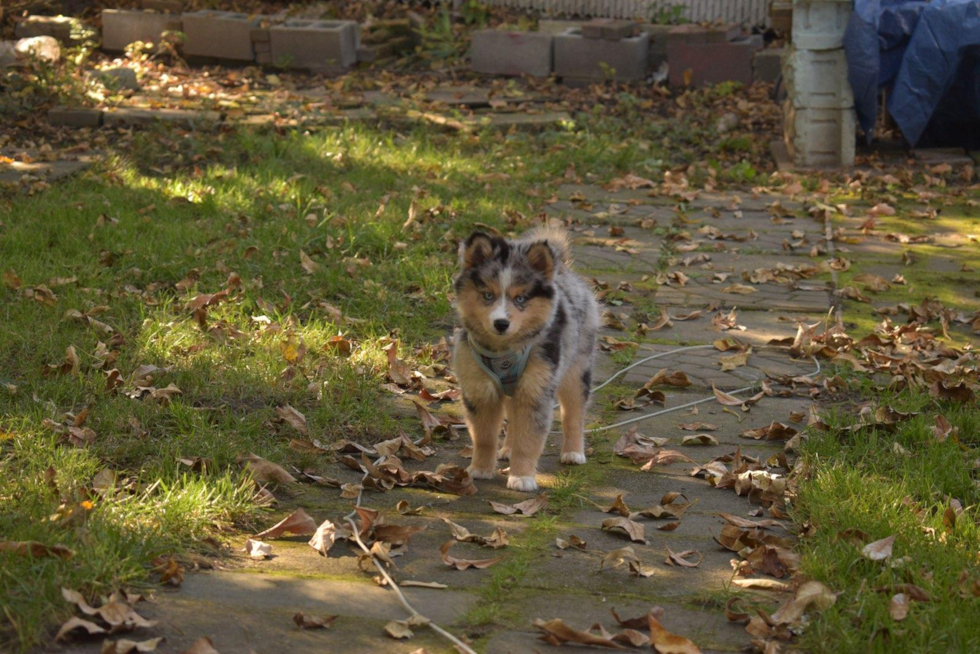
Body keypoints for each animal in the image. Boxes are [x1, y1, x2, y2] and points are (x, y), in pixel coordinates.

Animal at [450, 228, 596, 490]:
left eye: (521, 299)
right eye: (488, 295)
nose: (501, 323)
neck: (504, 350)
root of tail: (564, 270)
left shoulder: (536, 391)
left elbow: (528, 440)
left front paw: (522, 477)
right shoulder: (480, 391)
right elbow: (484, 437)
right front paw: (480, 469)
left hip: (576, 370)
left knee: (574, 413)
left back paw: (573, 452)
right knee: (513, 419)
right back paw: (507, 449)